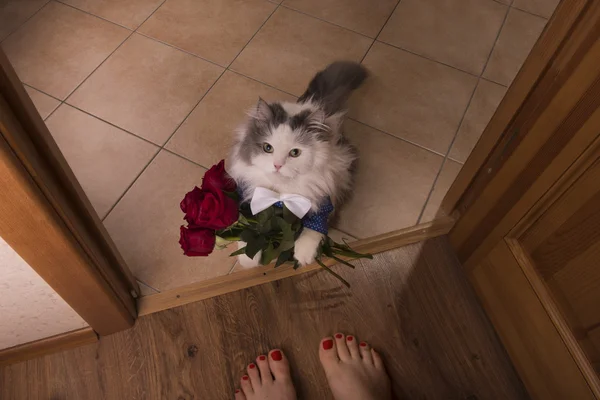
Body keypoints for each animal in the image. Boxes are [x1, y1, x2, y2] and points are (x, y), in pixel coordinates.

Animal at [229, 61, 366, 268]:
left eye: (295, 153)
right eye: (268, 148)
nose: (277, 165)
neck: (280, 196)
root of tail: (312, 102)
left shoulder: (323, 200)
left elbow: (315, 227)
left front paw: (303, 255)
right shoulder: (249, 196)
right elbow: (247, 225)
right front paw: (248, 259)